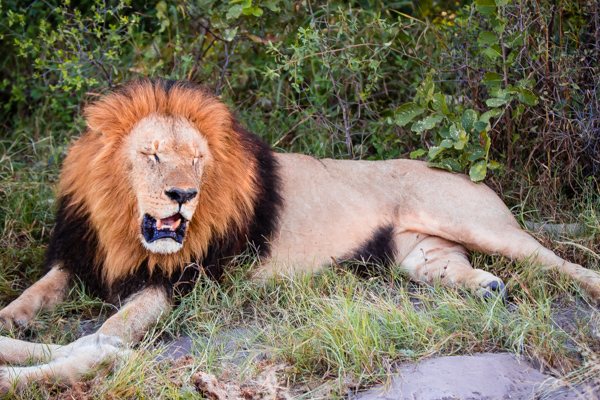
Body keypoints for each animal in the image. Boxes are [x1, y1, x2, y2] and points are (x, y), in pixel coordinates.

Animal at [1, 79, 600, 392]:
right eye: (150, 154)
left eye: (198, 159)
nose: (182, 195)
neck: (121, 226)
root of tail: (458, 171)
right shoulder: (78, 257)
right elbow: (35, 291)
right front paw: (13, 319)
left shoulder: (174, 283)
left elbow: (111, 329)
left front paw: (89, 348)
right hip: (417, 256)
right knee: (455, 267)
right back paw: (486, 288)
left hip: (480, 224)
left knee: (558, 261)